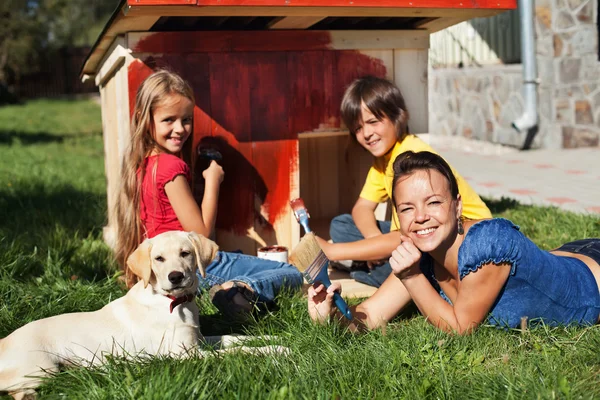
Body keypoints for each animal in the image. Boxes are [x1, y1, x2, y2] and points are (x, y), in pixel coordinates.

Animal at [0, 231, 286, 400]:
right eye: (158, 259)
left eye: (185, 253)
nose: (176, 277)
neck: (174, 303)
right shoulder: (187, 355)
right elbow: (239, 352)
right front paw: (276, 350)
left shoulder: (200, 340)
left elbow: (235, 338)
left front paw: (273, 338)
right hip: (42, 368)